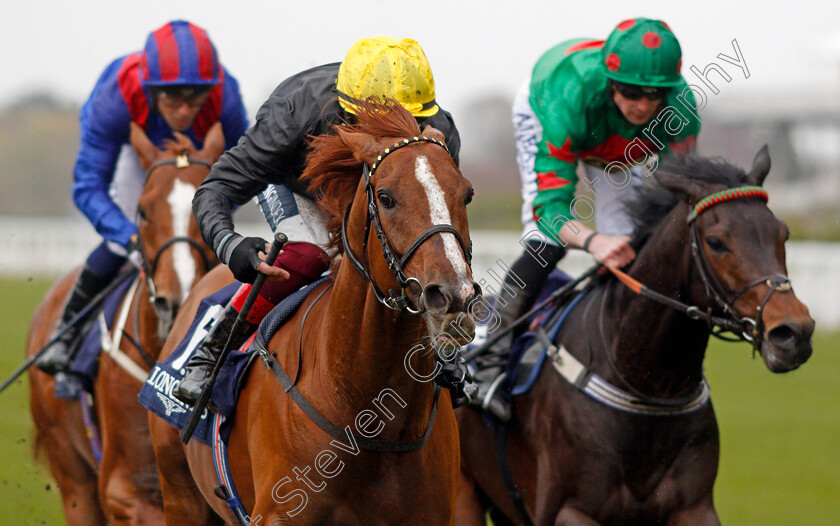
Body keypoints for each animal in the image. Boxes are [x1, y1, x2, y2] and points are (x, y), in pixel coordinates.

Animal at [452, 147, 812, 526]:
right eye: (716, 242)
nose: (794, 332)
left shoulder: (694, 507)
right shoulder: (567, 509)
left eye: (784, 234)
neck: (648, 383)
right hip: (464, 494)